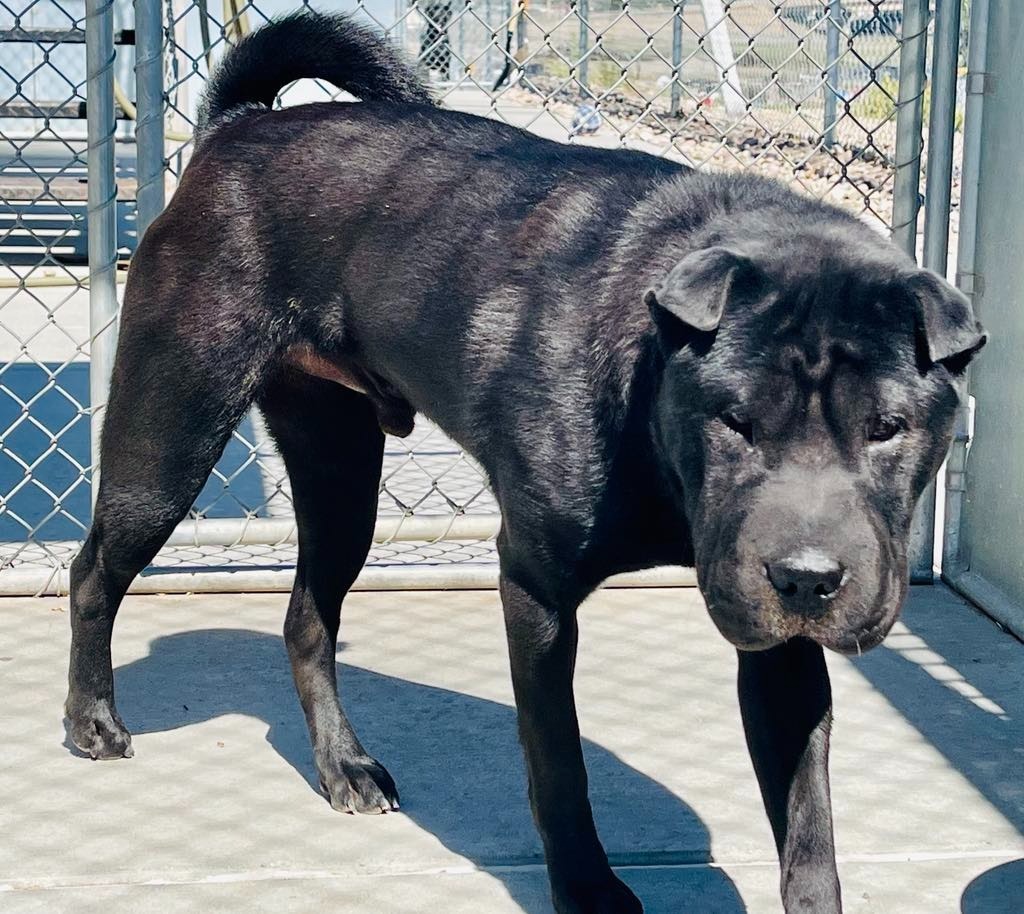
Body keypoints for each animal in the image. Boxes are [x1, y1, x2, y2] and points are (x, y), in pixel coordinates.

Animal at [64, 14, 983, 912]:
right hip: (171, 436)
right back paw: (91, 721)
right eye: (735, 421)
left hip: (340, 475)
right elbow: (559, 762)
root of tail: (240, 125)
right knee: (95, 571)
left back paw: (342, 766)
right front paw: (587, 890)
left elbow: (808, 827)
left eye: (889, 428)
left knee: (307, 619)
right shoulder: (535, 590)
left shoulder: (778, 644)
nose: (806, 578)